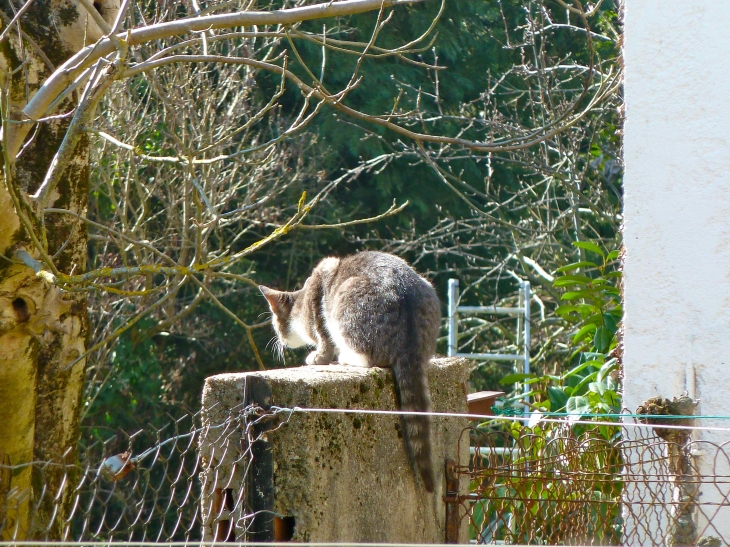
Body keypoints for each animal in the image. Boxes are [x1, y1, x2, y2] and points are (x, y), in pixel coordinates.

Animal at [260, 250, 438, 494]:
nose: (279, 339)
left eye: (275, 323)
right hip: (427, 290)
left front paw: (319, 356)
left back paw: (346, 357)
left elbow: (323, 336)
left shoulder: (320, 289)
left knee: (368, 357)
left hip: (348, 302)